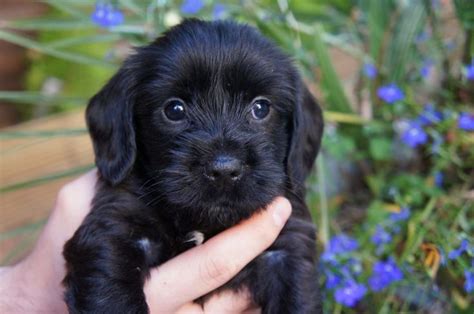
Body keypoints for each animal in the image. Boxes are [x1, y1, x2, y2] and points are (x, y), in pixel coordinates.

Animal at [62, 20, 322, 314]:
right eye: (174, 109)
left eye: (261, 108)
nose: (224, 170)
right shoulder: (113, 230)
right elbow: (112, 295)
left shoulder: (288, 248)